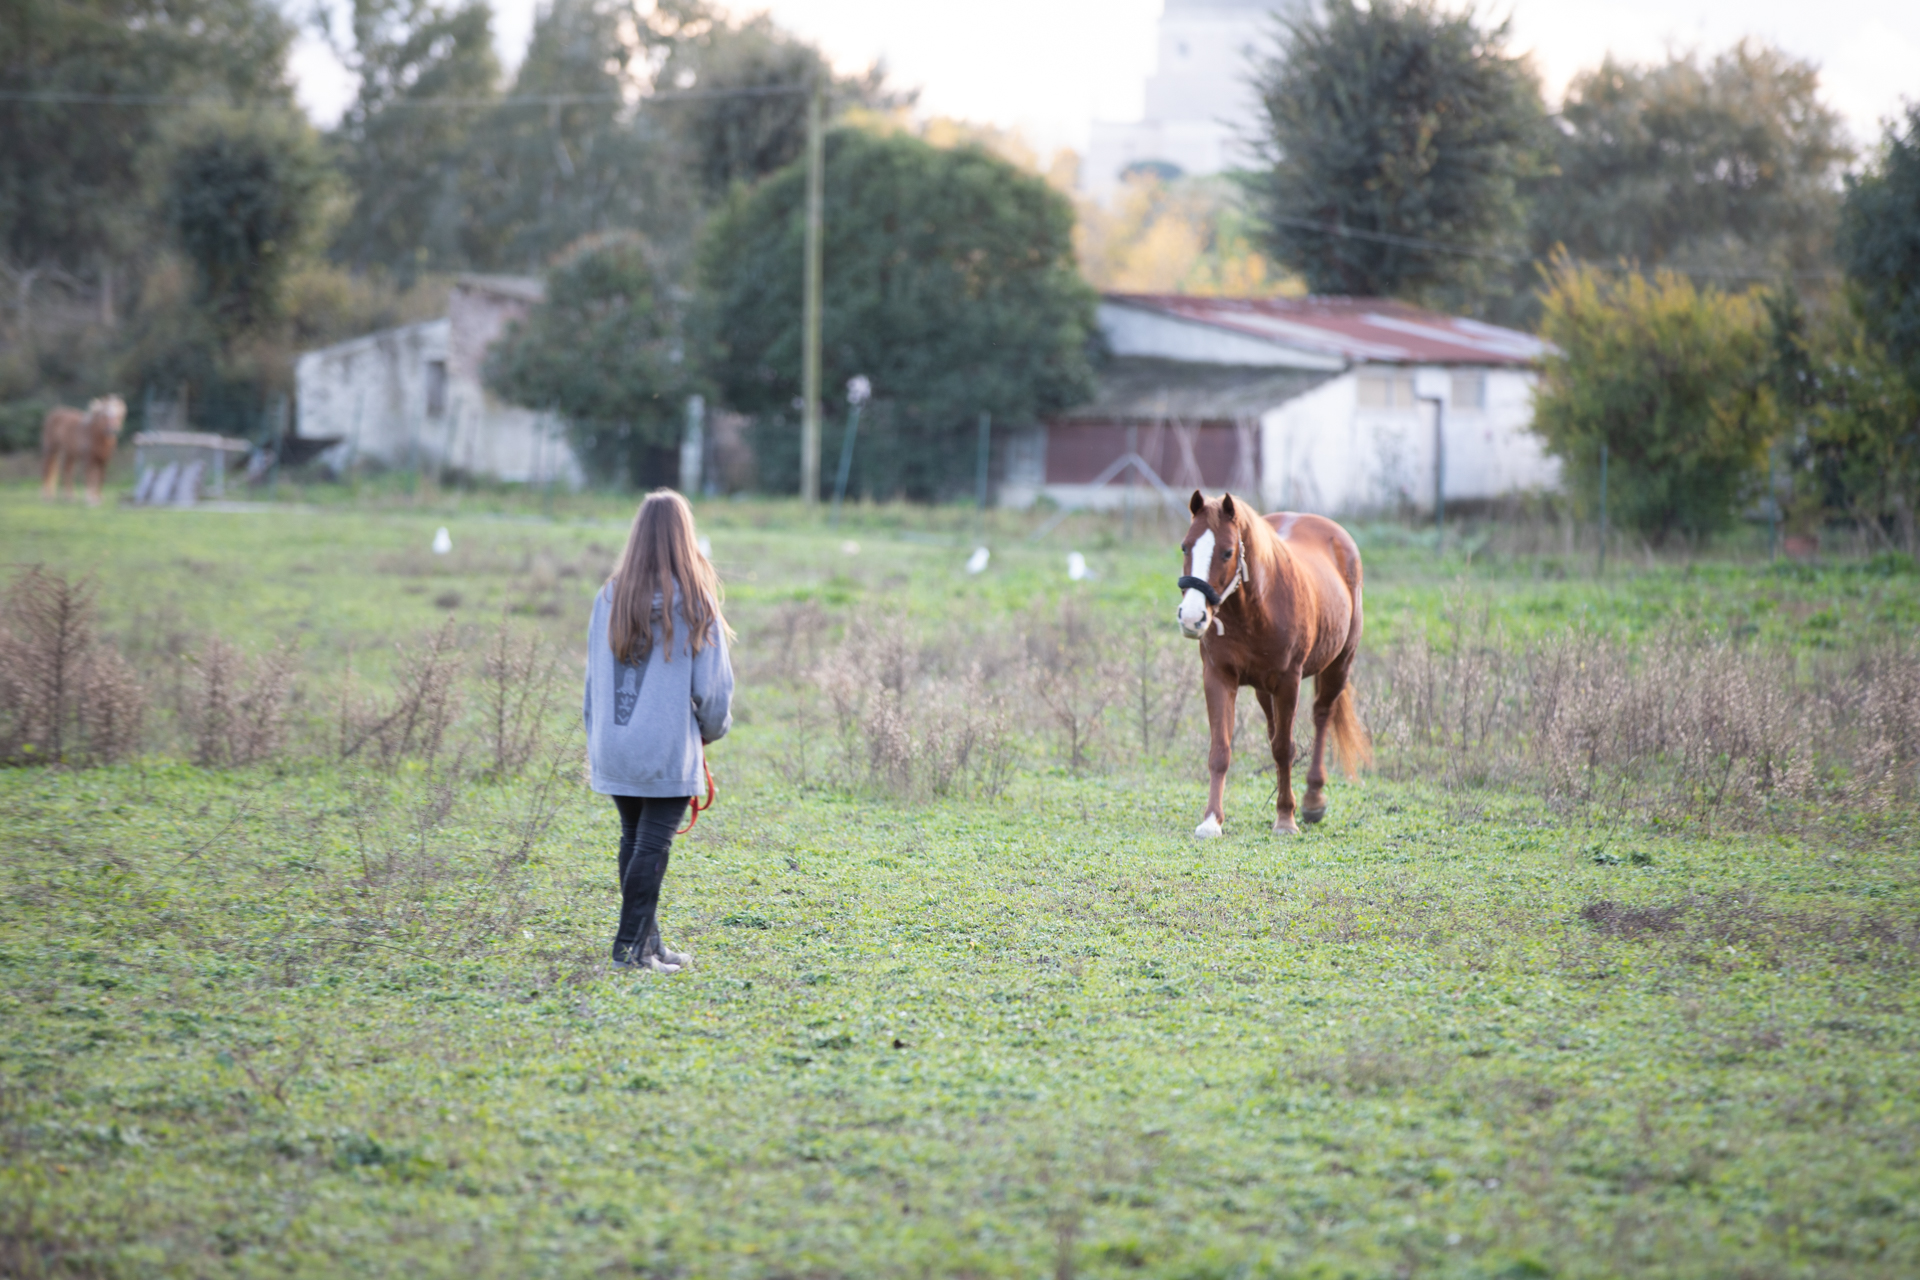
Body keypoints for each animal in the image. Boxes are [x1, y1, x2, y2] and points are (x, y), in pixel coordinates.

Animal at [1176, 489, 1371, 837]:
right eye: (1186, 546)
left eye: (1227, 552)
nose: (1191, 617)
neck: (1256, 610)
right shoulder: (1218, 677)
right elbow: (1220, 750)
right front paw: (1212, 819)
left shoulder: (1288, 682)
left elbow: (1283, 748)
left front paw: (1285, 818)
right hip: (1263, 690)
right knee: (1274, 729)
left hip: (1339, 665)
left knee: (1322, 716)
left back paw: (1312, 798)